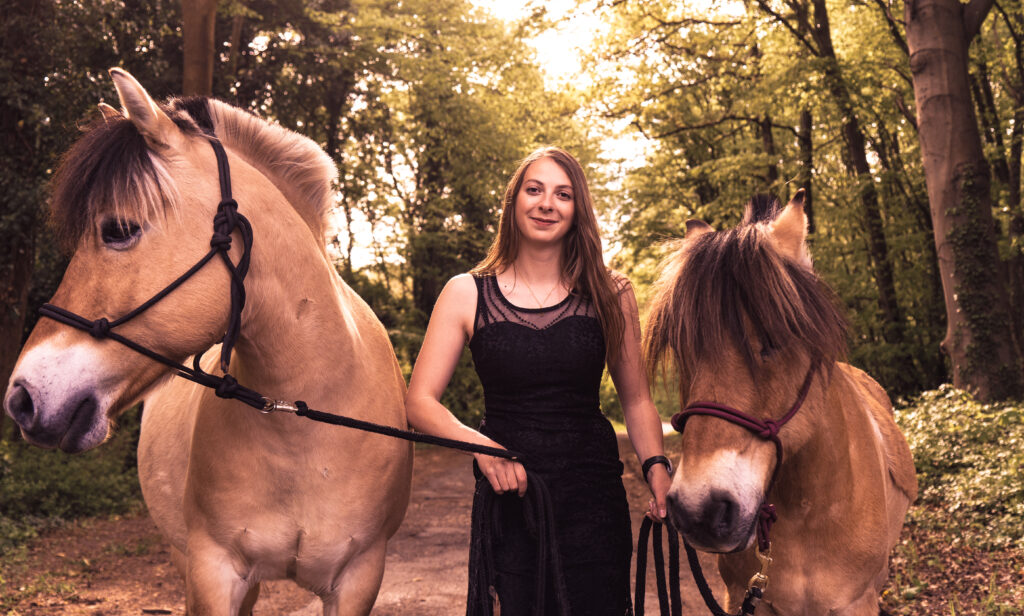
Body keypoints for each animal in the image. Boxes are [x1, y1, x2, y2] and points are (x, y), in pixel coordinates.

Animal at [643, 190, 917, 609]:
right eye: (682, 345)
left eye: (775, 338)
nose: (698, 511)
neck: (806, 515)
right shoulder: (741, 595)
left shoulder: (856, 603)